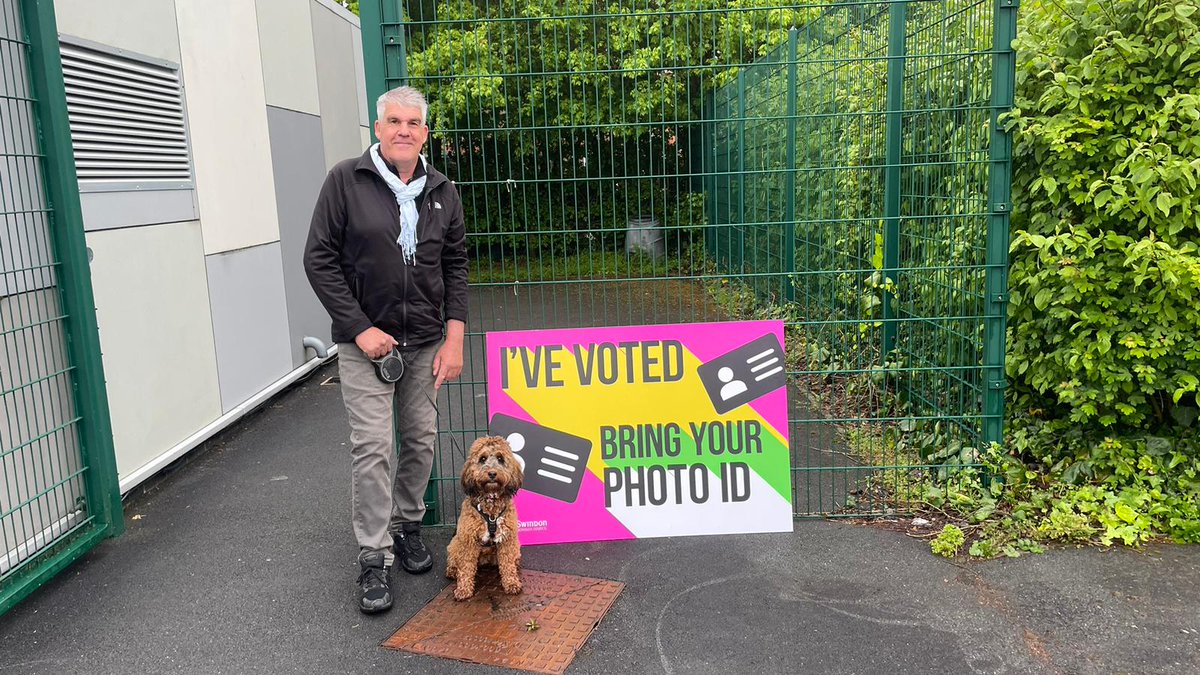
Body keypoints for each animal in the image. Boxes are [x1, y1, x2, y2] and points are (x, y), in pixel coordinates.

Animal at [446, 437, 520, 598]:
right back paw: (452, 571)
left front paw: (511, 583)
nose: (492, 473)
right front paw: (463, 589)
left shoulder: (507, 540)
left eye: (500, 459)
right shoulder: (468, 541)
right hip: (455, 543)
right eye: (482, 459)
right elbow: (466, 567)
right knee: (454, 560)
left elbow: (507, 564)